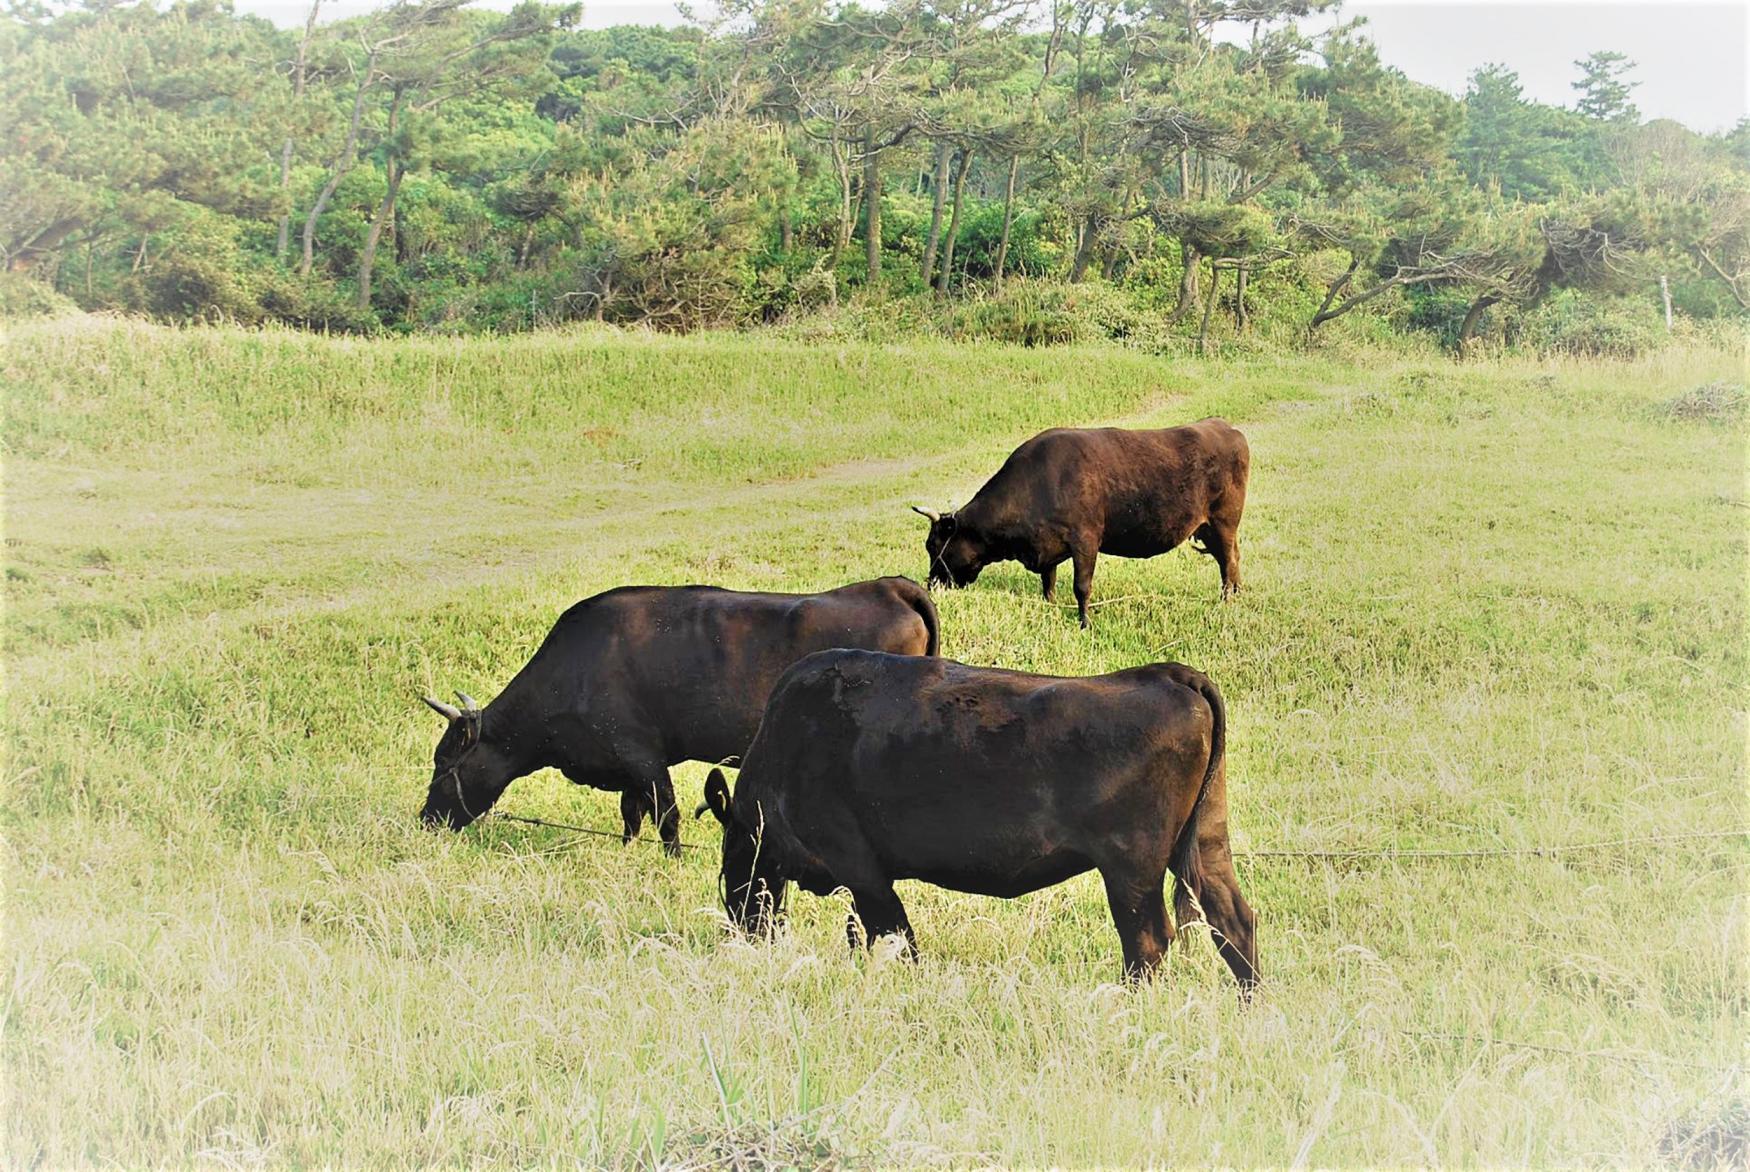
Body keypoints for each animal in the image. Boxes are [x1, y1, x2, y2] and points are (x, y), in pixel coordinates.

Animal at [420, 577, 945, 853]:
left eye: (444, 763)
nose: (426, 819)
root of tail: (889, 587)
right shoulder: (626, 763)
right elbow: (631, 814)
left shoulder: (640, 752)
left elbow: (665, 814)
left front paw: (669, 858)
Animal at [696, 650, 1260, 993]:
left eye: (729, 869)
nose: (744, 929)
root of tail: (1165, 673)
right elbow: (868, 935)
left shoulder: (858, 865)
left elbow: (895, 936)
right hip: (1205, 843)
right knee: (1233, 920)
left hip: (1131, 866)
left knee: (1147, 939)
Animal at [910, 418, 1253, 629]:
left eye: (934, 546)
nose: (931, 584)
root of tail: (1222, 425)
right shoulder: (1047, 547)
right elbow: (1048, 583)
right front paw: (1050, 608)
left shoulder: (1086, 541)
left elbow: (1081, 586)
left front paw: (1084, 623)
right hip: (1209, 528)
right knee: (1231, 559)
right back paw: (1236, 594)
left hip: (1223, 521)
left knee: (1228, 561)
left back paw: (1226, 601)